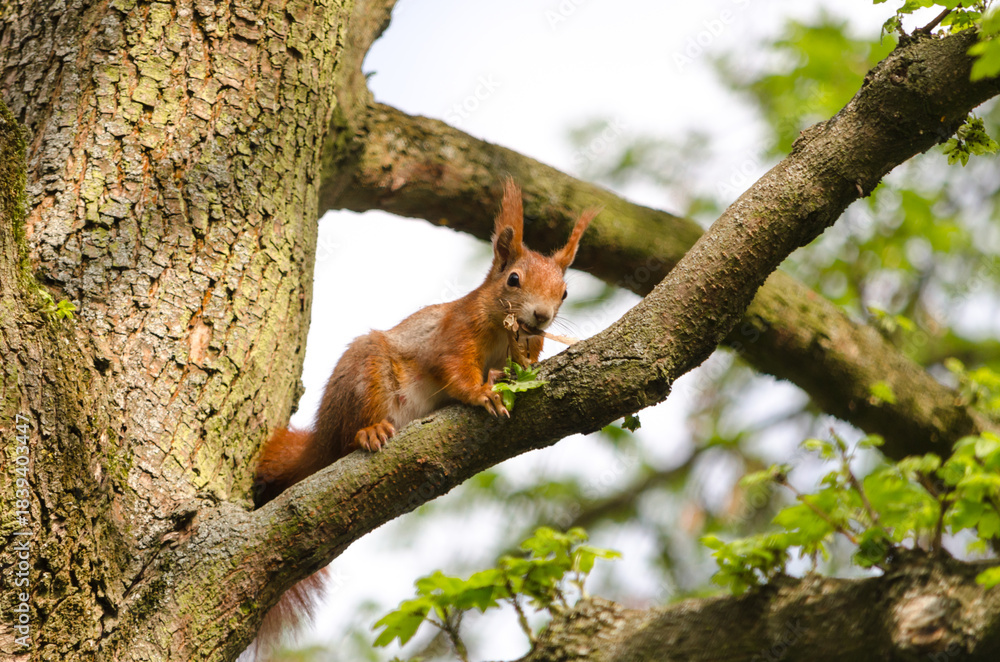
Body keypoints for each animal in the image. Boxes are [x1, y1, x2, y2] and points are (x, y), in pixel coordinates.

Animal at [252, 179, 598, 507]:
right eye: (513, 279)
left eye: (564, 293)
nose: (541, 315)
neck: (505, 333)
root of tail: (319, 441)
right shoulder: (456, 330)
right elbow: (452, 366)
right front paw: (482, 392)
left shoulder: (528, 343)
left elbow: (522, 364)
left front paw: (505, 374)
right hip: (363, 377)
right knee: (344, 442)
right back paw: (369, 432)